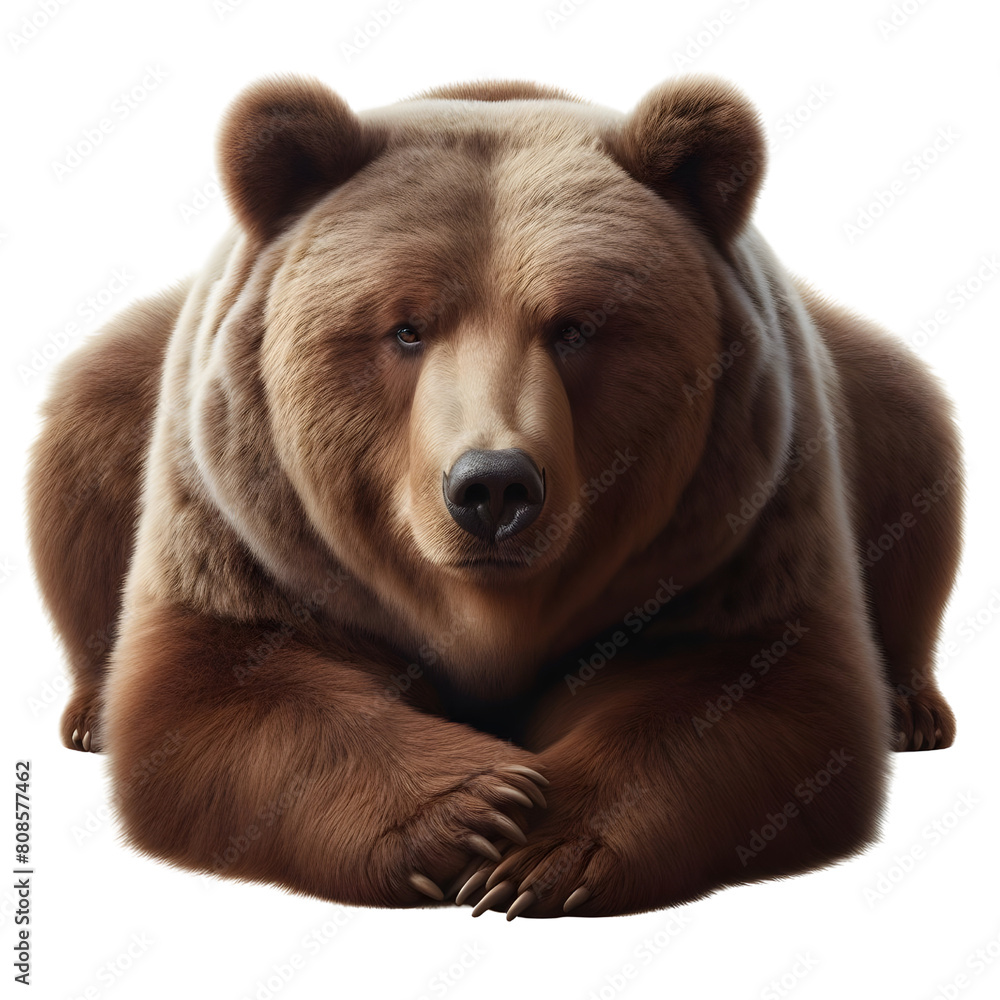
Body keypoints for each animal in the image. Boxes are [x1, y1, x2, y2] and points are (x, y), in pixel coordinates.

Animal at [26, 74, 963, 920]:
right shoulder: (247, 537)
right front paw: (474, 808)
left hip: (879, 414)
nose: (493, 487)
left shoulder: (739, 531)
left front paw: (538, 850)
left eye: (577, 326)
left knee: (918, 454)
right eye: (406, 328)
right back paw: (89, 714)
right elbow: (213, 694)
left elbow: (762, 694)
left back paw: (914, 709)